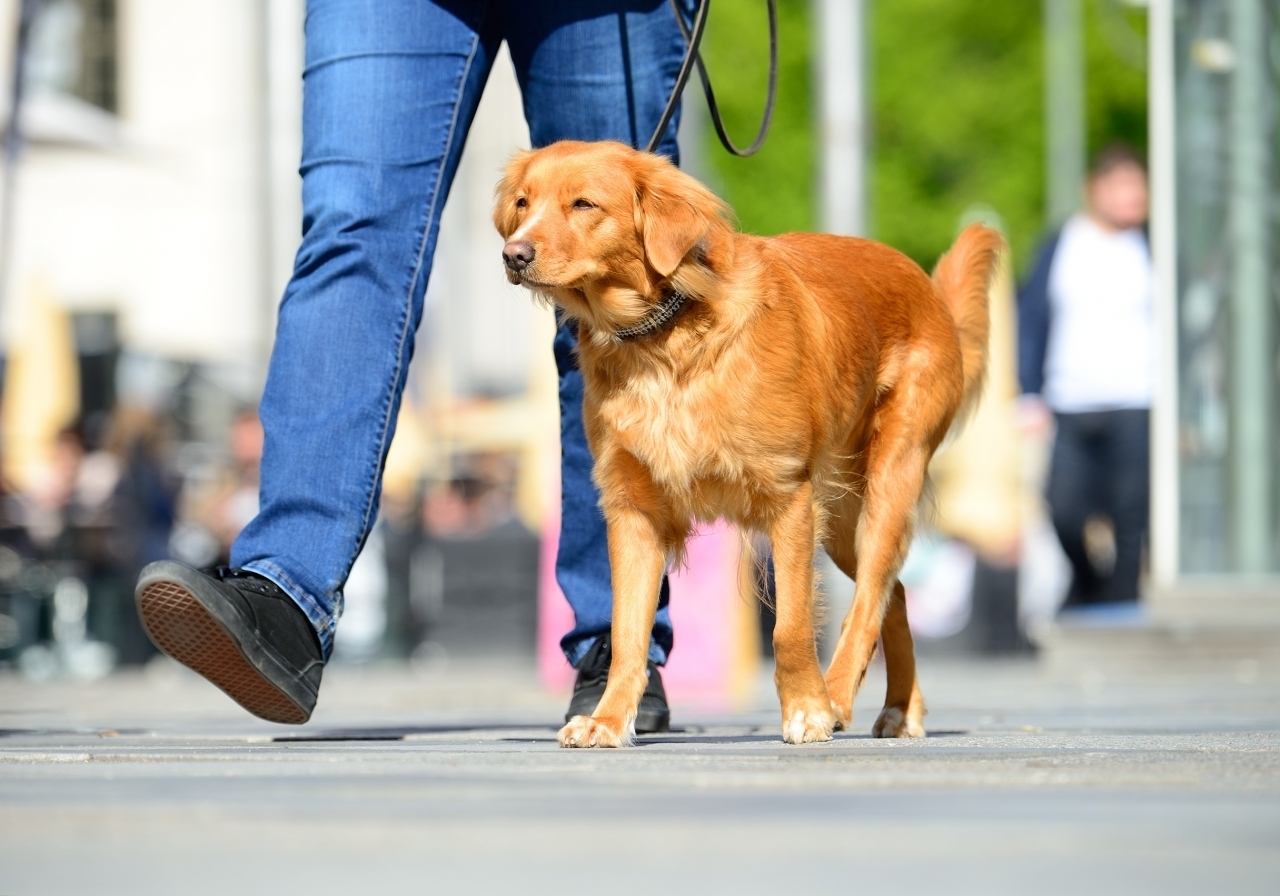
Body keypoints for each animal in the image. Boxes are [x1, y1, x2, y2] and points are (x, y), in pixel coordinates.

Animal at [494, 140, 1003, 747]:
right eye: (523, 204)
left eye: (584, 204)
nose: (513, 254)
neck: (664, 338)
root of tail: (926, 286)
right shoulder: (633, 510)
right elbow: (627, 634)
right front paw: (608, 720)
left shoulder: (789, 498)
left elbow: (791, 628)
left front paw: (807, 710)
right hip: (841, 519)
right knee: (891, 594)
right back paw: (903, 708)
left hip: (888, 481)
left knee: (867, 603)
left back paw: (837, 697)